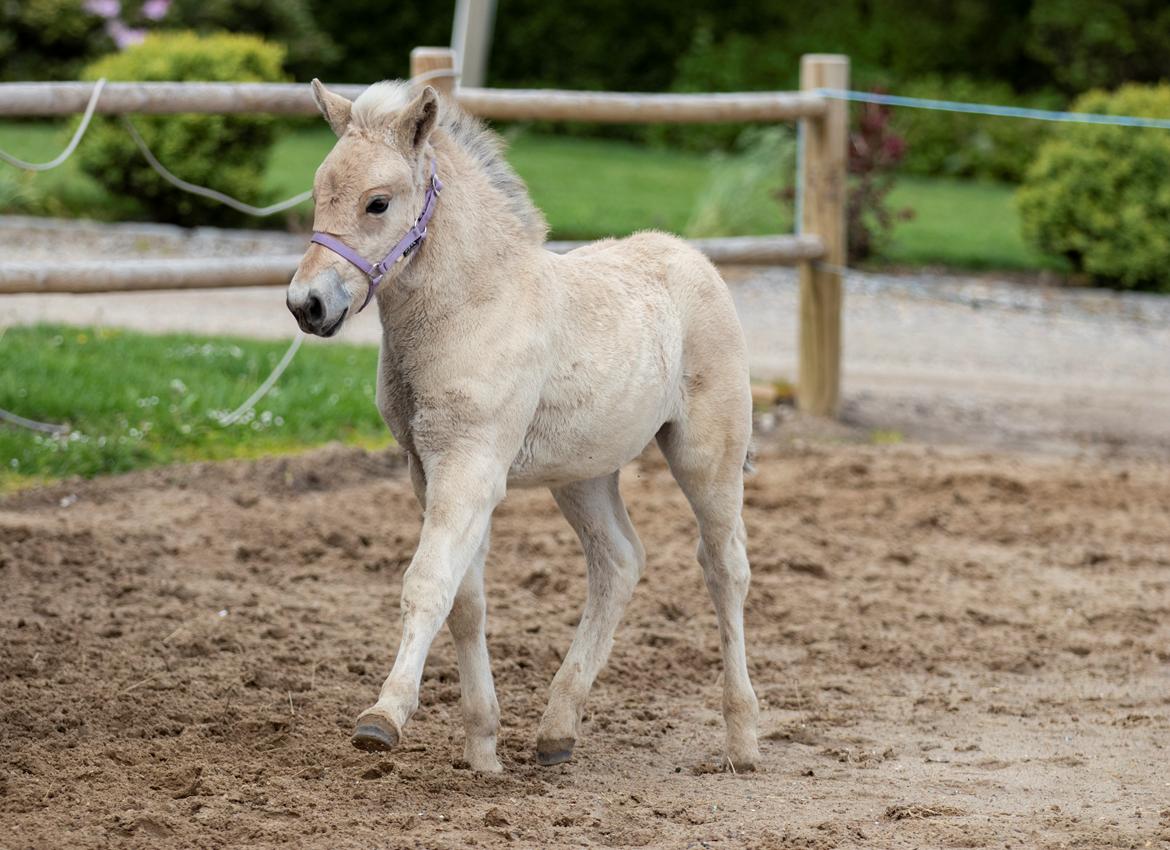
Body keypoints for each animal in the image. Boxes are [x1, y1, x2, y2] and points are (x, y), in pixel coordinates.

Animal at [283, 78, 758, 772]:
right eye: (319, 193)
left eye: (378, 203)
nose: (307, 305)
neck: (474, 305)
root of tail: (693, 258)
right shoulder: (429, 469)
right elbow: (466, 600)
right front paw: (483, 750)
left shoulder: (471, 466)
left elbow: (428, 583)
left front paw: (383, 718)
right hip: (584, 473)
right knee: (619, 562)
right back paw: (558, 729)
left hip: (708, 459)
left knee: (725, 569)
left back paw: (742, 739)